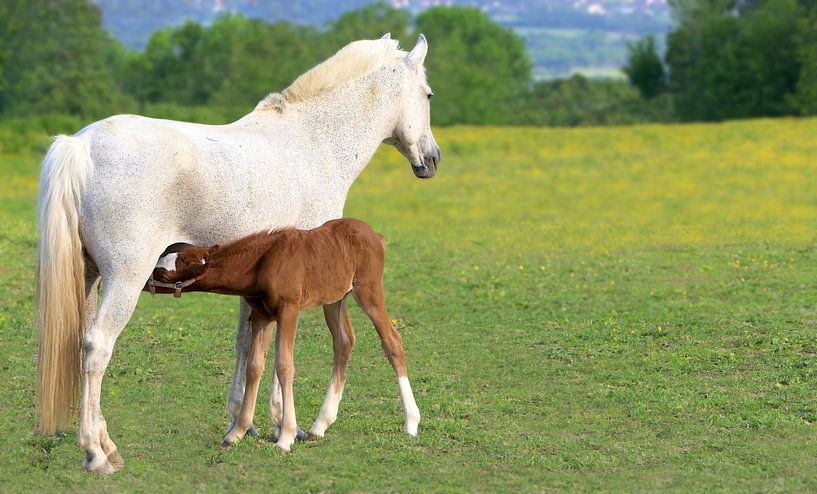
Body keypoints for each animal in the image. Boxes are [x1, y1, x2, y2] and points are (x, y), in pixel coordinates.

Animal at [146, 218, 421, 451]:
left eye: (163, 272)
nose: (145, 282)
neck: (262, 262)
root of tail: (375, 236)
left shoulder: (289, 310)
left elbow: (284, 365)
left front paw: (286, 436)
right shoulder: (262, 315)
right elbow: (255, 365)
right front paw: (237, 432)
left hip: (368, 289)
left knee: (392, 341)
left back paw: (411, 422)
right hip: (334, 299)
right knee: (344, 342)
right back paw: (320, 425)